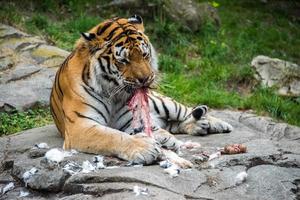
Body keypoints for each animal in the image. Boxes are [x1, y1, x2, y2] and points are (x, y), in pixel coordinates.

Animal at [49, 15, 232, 166]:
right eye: (123, 60)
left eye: (144, 54)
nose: (145, 79)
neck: (113, 93)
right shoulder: (80, 126)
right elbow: (112, 135)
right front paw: (146, 148)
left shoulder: (129, 121)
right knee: (170, 124)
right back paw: (197, 126)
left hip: (162, 103)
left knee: (183, 111)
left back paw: (217, 123)